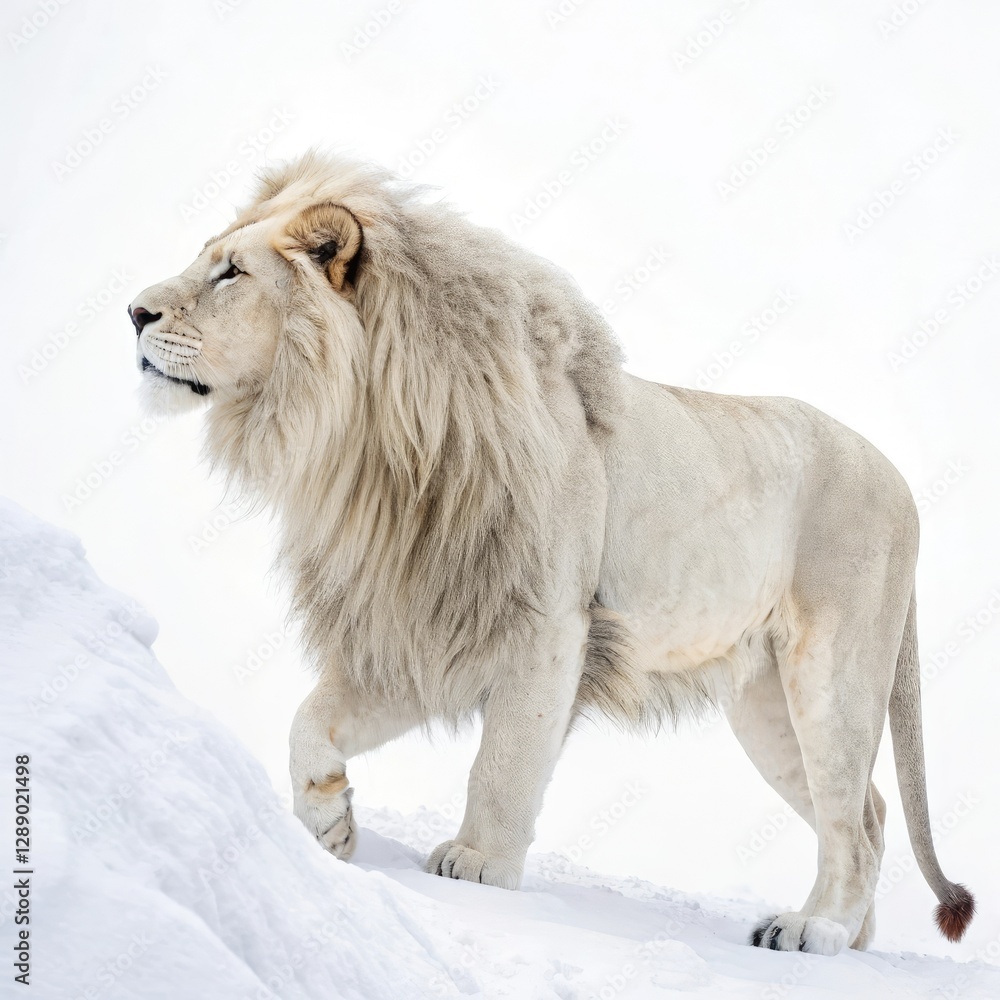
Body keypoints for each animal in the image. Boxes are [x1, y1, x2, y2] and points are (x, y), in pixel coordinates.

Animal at [129, 150, 974, 955]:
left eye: (232, 272)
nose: (133, 311)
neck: (364, 444)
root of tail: (901, 481)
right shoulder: (421, 628)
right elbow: (310, 719)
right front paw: (328, 822)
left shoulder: (549, 627)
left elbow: (504, 763)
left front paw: (475, 866)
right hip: (766, 706)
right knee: (869, 810)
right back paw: (848, 937)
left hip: (832, 677)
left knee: (852, 823)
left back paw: (812, 931)